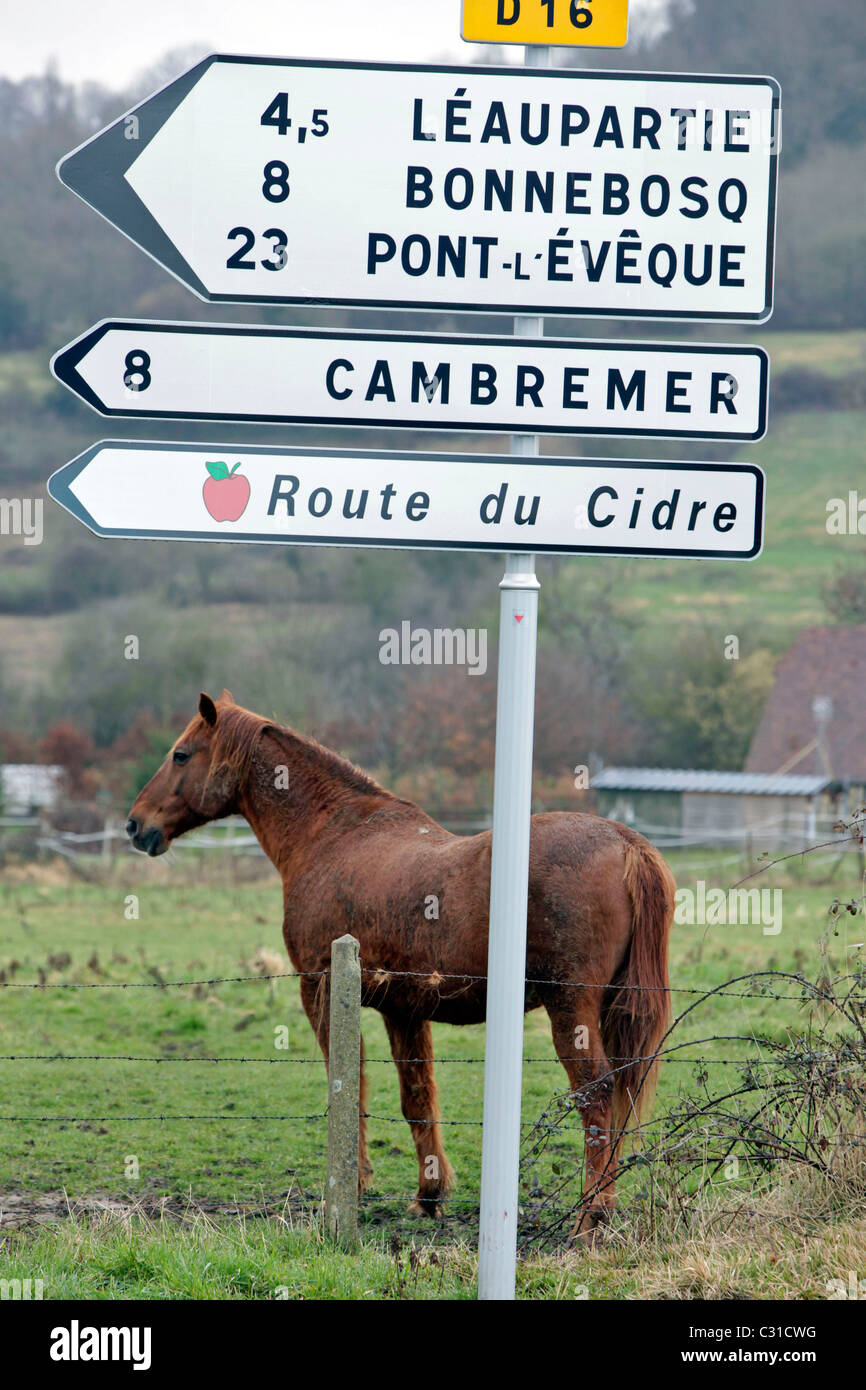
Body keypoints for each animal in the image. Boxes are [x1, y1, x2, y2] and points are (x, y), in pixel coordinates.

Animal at [127, 689, 678, 1234]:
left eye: (181, 754)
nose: (136, 824)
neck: (333, 835)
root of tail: (628, 845)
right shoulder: (405, 1010)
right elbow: (417, 1099)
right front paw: (429, 1196)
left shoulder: (320, 991)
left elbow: (349, 1086)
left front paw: (353, 1185)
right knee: (621, 1093)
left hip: (571, 1009)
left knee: (598, 1095)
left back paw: (590, 1218)